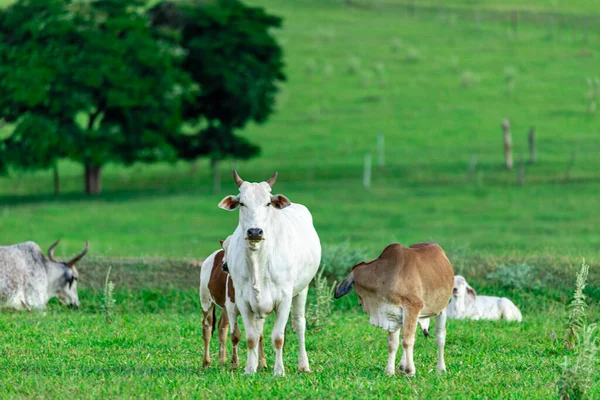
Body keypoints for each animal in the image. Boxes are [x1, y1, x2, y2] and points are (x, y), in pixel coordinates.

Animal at [198, 238, 266, 368]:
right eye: (225, 249)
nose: (225, 266)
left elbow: (259, 335)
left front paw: (262, 363)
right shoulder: (232, 307)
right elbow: (235, 335)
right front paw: (235, 363)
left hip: (225, 308)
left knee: (222, 327)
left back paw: (221, 361)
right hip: (206, 299)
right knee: (207, 327)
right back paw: (206, 362)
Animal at [218, 170, 322, 376]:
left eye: (267, 203)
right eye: (242, 203)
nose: (255, 232)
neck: (258, 261)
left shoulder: (284, 298)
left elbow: (278, 337)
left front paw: (279, 371)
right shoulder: (243, 300)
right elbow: (251, 337)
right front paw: (249, 369)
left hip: (302, 290)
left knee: (299, 325)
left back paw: (303, 365)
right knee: (259, 330)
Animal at [332, 242, 454, 376]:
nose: (360, 303)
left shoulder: (413, 306)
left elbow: (407, 341)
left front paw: (410, 371)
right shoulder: (391, 315)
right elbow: (393, 344)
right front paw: (389, 371)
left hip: (443, 308)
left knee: (440, 337)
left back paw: (440, 368)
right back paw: (402, 366)